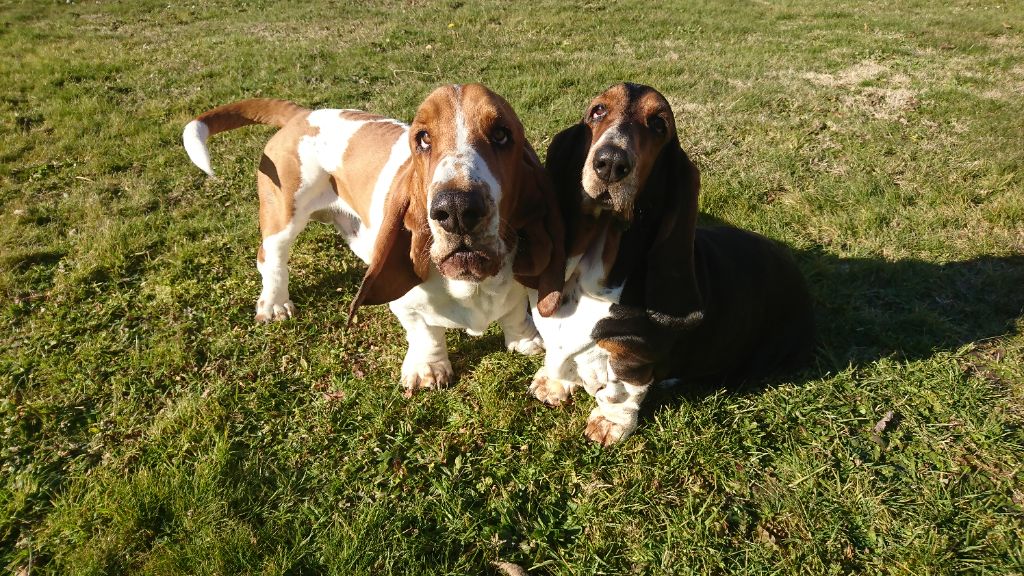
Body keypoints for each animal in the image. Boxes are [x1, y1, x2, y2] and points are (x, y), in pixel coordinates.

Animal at [186, 83, 569, 391]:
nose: (457, 208)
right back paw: (274, 304)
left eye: (502, 134)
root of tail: (305, 115)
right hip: (283, 215)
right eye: (423, 138)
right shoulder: (407, 304)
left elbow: (515, 312)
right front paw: (428, 369)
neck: (471, 283)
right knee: (271, 258)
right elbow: (424, 332)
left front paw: (524, 341)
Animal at [532, 81, 811, 444]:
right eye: (598, 111)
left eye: (658, 125)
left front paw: (609, 424)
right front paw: (553, 383)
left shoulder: (631, 357)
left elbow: (620, 391)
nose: (611, 162)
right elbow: (559, 356)